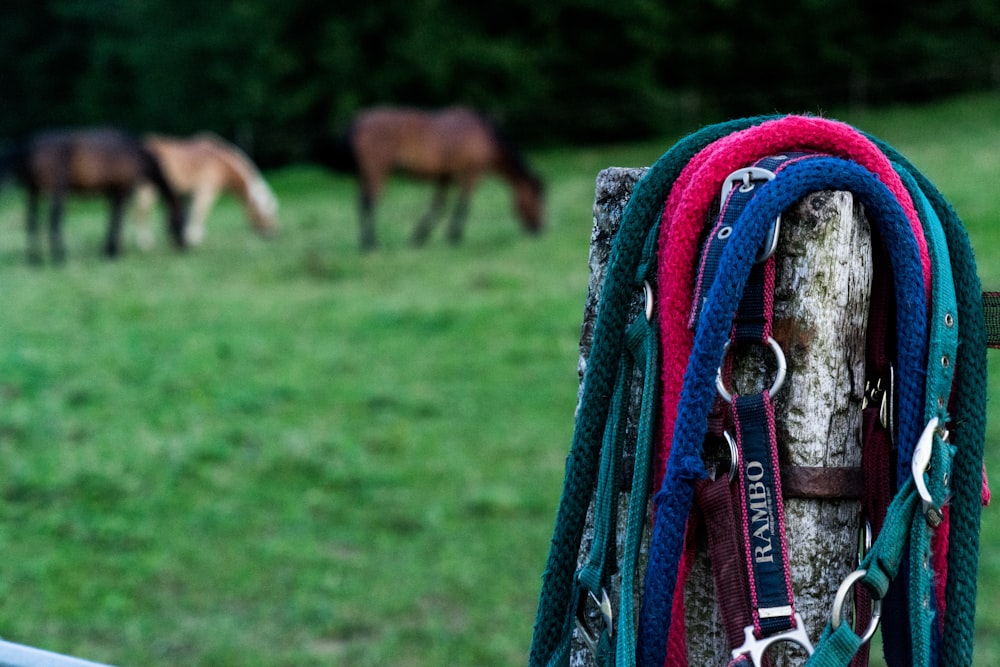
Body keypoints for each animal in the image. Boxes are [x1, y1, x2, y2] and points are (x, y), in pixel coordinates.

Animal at [0, 128, 186, 264]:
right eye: (181, 220)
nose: (184, 246)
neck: (136, 155)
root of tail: (28, 148)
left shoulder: (112, 193)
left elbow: (112, 219)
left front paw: (108, 250)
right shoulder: (122, 192)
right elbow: (117, 220)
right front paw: (112, 252)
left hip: (33, 193)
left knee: (32, 222)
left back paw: (35, 260)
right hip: (56, 193)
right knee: (53, 222)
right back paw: (60, 257)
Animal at [135, 132, 280, 247]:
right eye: (266, 214)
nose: (273, 233)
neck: (220, 162)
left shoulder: (189, 194)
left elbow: (188, 214)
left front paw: (185, 236)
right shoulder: (206, 191)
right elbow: (200, 212)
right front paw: (194, 238)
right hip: (148, 190)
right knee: (142, 211)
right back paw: (145, 242)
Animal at [332, 107, 544, 250]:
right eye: (537, 199)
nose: (540, 229)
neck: (485, 137)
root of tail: (360, 122)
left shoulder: (445, 176)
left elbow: (438, 207)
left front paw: (418, 239)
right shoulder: (470, 176)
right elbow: (462, 207)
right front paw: (454, 237)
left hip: (366, 175)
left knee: (361, 203)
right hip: (377, 172)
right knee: (368, 204)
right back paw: (370, 244)